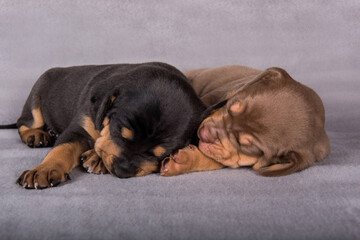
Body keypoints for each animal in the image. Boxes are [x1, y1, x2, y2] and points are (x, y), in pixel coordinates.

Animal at [15, 62, 205, 189]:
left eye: (161, 155)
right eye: (121, 133)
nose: (122, 170)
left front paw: (97, 158)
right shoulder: (80, 128)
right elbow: (63, 149)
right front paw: (44, 170)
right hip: (37, 96)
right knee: (24, 123)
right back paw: (36, 135)